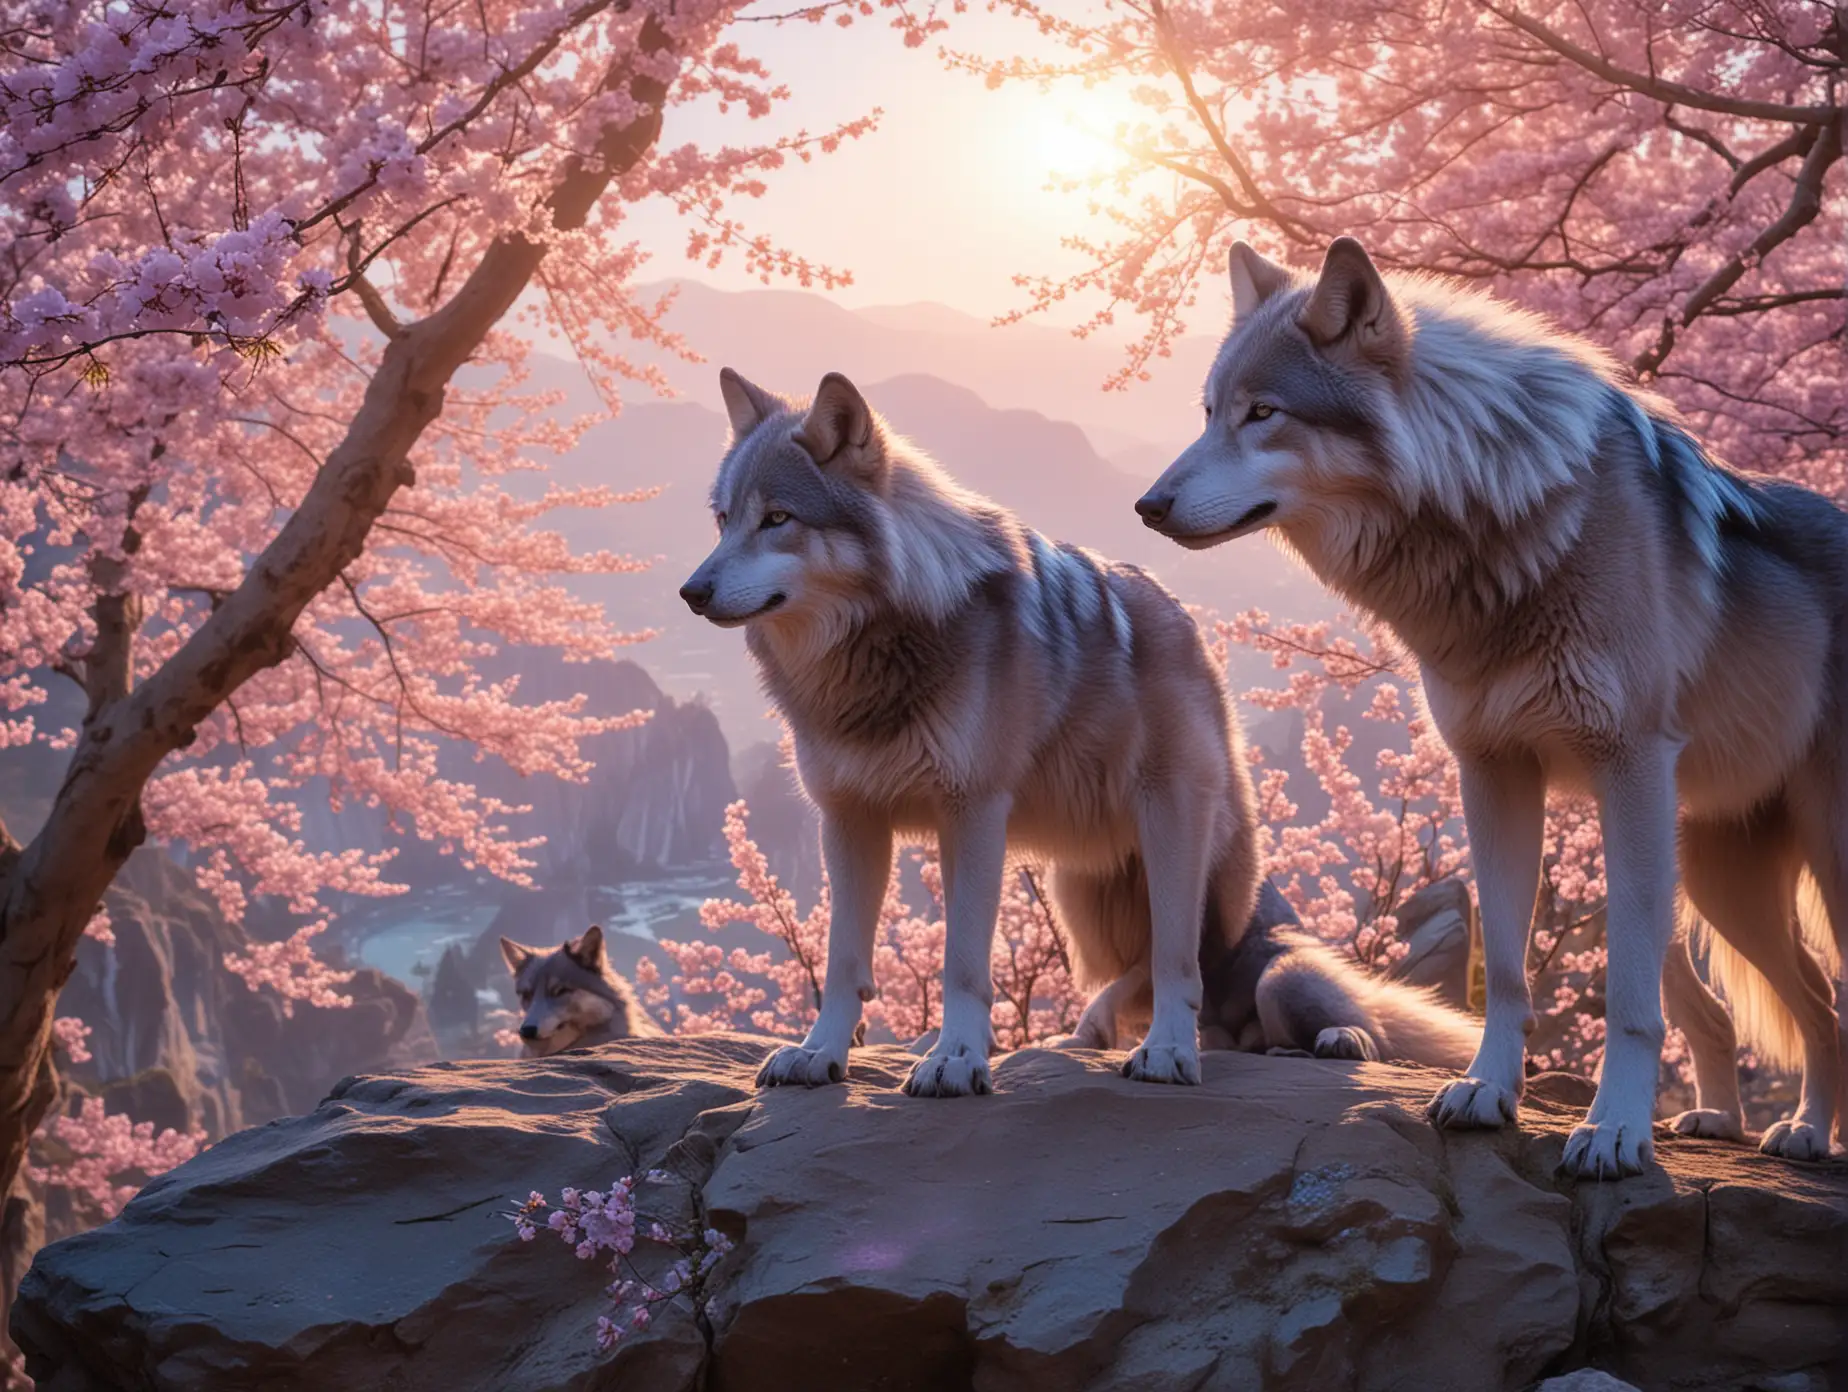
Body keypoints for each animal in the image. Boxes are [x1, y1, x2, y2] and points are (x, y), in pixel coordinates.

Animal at [683, 364, 1485, 1094]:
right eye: (722, 519)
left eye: (778, 518)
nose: (691, 591)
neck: (874, 654)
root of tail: (1188, 627)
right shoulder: (850, 820)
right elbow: (844, 959)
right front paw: (820, 1055)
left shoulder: (973, 814)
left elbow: (964, 962)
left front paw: (956, 1060)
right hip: (1079, 895)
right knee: (1154, 987)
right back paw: (1105, 1037)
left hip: (1203, 880)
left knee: (1203, 974)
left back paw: (1209, 1050)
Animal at [1138, 236, 1848, 1175]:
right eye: (1211, 412)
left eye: (1263, 414)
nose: (1148, 506)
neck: (1496, 522)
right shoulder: (1492, 771)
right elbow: (1507, 970)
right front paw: (1487, 1091)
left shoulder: (1628, 764)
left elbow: (1628, 1000)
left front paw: (1614, 1131)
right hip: (1712, 879)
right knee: (1796, 1005)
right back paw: (1741, 1123)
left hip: (1787, 854)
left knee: (1809, 1001)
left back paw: (1793, 1131)